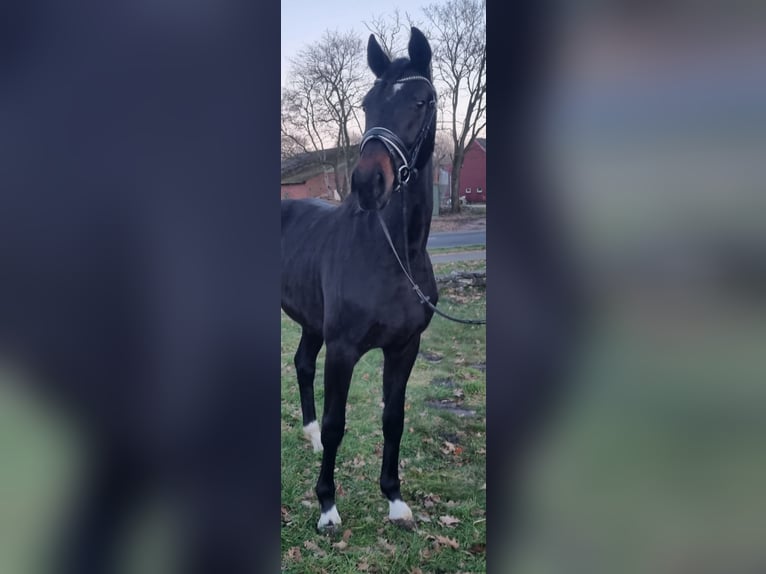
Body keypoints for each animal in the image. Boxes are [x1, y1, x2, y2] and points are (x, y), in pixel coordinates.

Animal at [282, 27, 438, 532]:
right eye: (368, 103)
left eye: (421, 101)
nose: (369, 183)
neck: (394, 255)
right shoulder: (344, 349)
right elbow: (338, 424)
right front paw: (327, 507)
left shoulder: (405, 347)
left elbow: (394, 418)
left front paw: (394, 499)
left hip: (312, 321)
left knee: (302, 363)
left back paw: (309, 436)